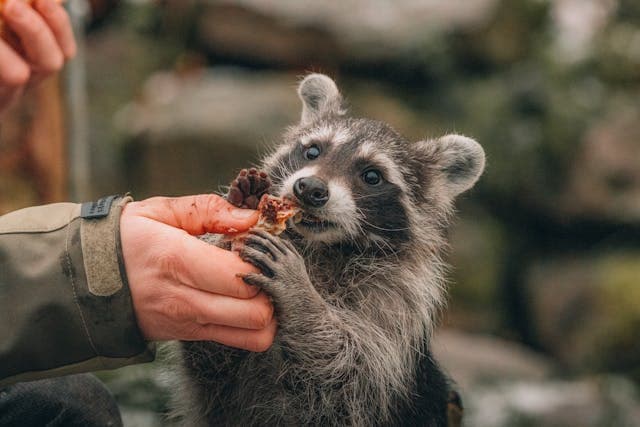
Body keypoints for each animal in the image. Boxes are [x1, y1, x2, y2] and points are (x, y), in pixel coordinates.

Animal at [171, 74, 485, 426]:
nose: (309, 189)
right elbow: (210, 357)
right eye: (312, 150)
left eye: (372, 175)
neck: (320, 249)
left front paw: (301, 297)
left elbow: (350, 376)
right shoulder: (219, 389)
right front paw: (234, 224)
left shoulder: (393, 314)